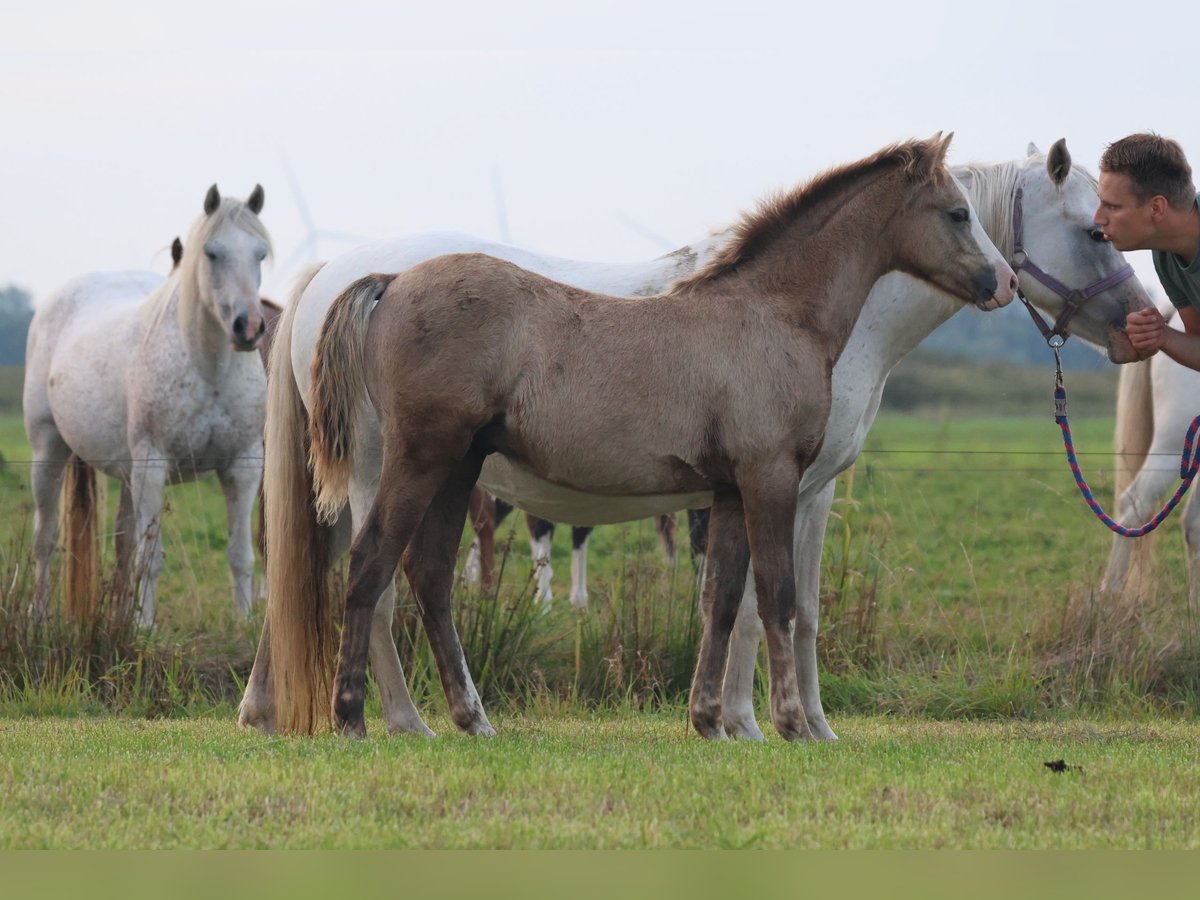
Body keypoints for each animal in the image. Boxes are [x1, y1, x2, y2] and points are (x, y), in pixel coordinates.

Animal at [25, 184, 272, 628]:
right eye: (211, 253)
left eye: (260, 253)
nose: (248, 328)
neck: (208, 369)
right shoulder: (153, 466)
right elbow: (151, 558)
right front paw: (144, 627)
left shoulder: (243, 467)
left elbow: (240, 555)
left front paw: (244, 623)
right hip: (48, 452)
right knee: (45, 538)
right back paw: (39, 615)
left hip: (127, 473)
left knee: (123, 542)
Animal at [238, 141, 1147, 739]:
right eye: (957, 212)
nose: (1000, 282)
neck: (773, 311)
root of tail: (381, 282)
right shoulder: (778, 480)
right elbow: (779, 599)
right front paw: (789, 724)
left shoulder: (731, 489)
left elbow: (722, 600)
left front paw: (712, 720)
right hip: (406, 464)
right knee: (370, 572)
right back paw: (368, 719)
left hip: (457, 469)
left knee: (409, 575)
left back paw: (446, 717)